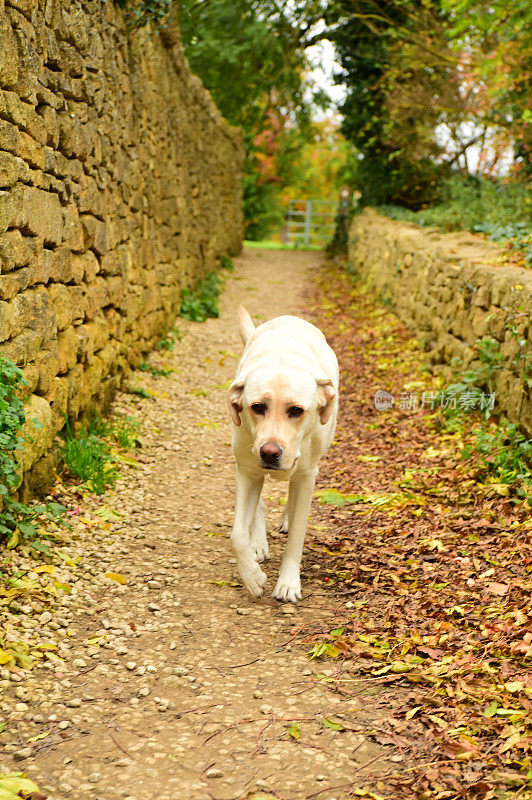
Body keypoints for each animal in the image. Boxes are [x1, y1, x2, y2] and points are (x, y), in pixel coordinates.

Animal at [227, 306, 338, 600]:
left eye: (296, 411)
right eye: (257, 407)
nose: (269, 453)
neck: (283, 358)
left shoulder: (308, 474)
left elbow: (297, 535)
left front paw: (288, 582)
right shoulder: (247, 471)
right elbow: (237, 534)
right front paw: (251, 576)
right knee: (258, 506)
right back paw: (257, 544)